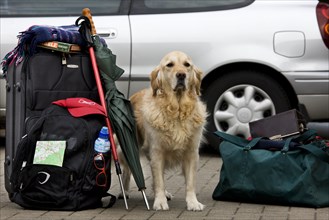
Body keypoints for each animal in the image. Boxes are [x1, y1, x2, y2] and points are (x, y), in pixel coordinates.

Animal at [120, 50, 208, 211]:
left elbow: (190, 182)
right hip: (125, 146)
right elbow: (159, 180)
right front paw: (160, 202)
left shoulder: (191, 152)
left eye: (187, 65)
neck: (177, 110)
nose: (181, 75)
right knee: (127, 170)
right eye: (169, 65)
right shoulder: (157, 151)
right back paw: (125, 192)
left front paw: (193, 202)